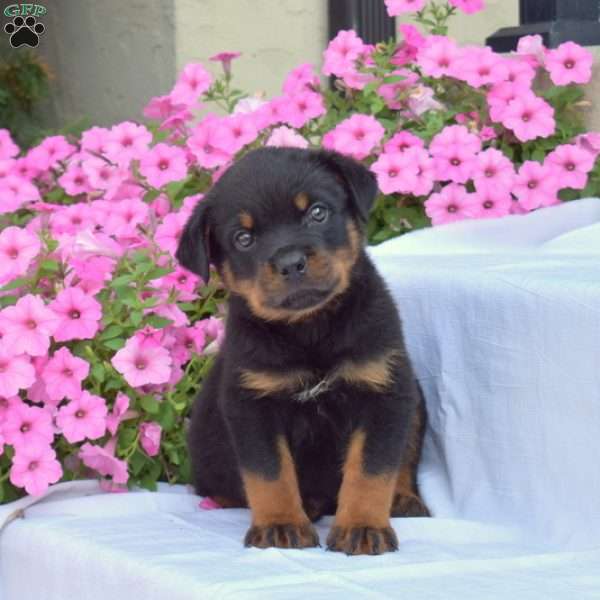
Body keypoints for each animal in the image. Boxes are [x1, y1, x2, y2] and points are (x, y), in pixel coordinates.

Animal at [176, 146, 428, 556]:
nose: (290, 262)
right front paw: (280, 525)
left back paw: (403, 498)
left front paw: (362, 527)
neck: (311, 331)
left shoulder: (382, 390)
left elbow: (372, 469)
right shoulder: (253, 404)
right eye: (243, 238)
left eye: (317, 212)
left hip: (414, 395)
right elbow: (269, 473)